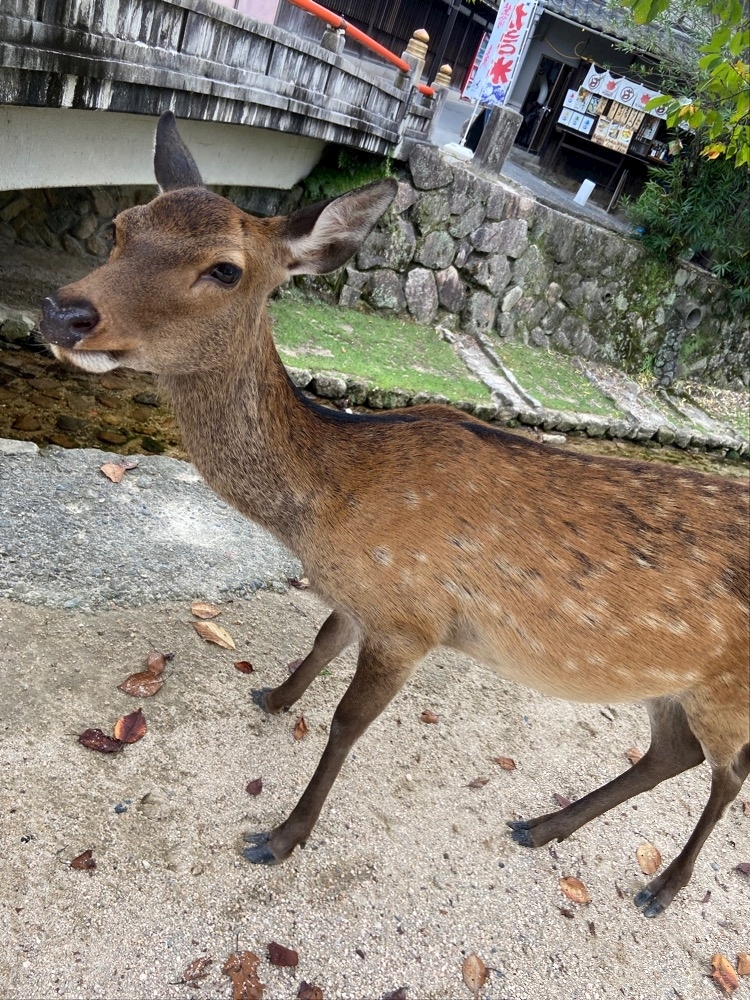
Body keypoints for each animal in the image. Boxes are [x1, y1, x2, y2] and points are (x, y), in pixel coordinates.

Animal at [38, 113, 748, 916]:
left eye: (224, 269)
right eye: (122, 227)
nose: (64, 312)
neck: (328, 503)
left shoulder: (413, 618)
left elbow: (347, 723)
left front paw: (280, 837)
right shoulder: (360, 598)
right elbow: (320, 639)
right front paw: (272, 695)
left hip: (731, 692)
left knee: (729, 773)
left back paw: (662, 885)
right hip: (671, 683)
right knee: (673, 751)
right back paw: (544, 825)